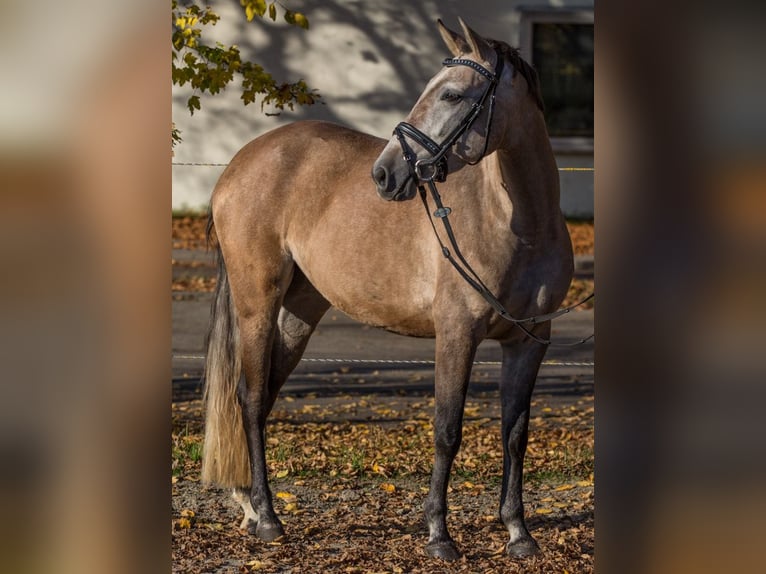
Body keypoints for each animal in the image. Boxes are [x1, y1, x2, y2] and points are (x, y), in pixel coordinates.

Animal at [204, 19, 576, 564]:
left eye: (451, 94)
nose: (384, 174)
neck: (520, 225)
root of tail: (241, 161)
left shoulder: (530, 342)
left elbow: (514, 434)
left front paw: (518, 533)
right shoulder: (457, 335)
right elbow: (447, 431)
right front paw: (439, 535)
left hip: (299, 312)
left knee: (265, 396)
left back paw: (252, 507)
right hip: (257, 304)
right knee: (249, 399)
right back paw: (269, 519)